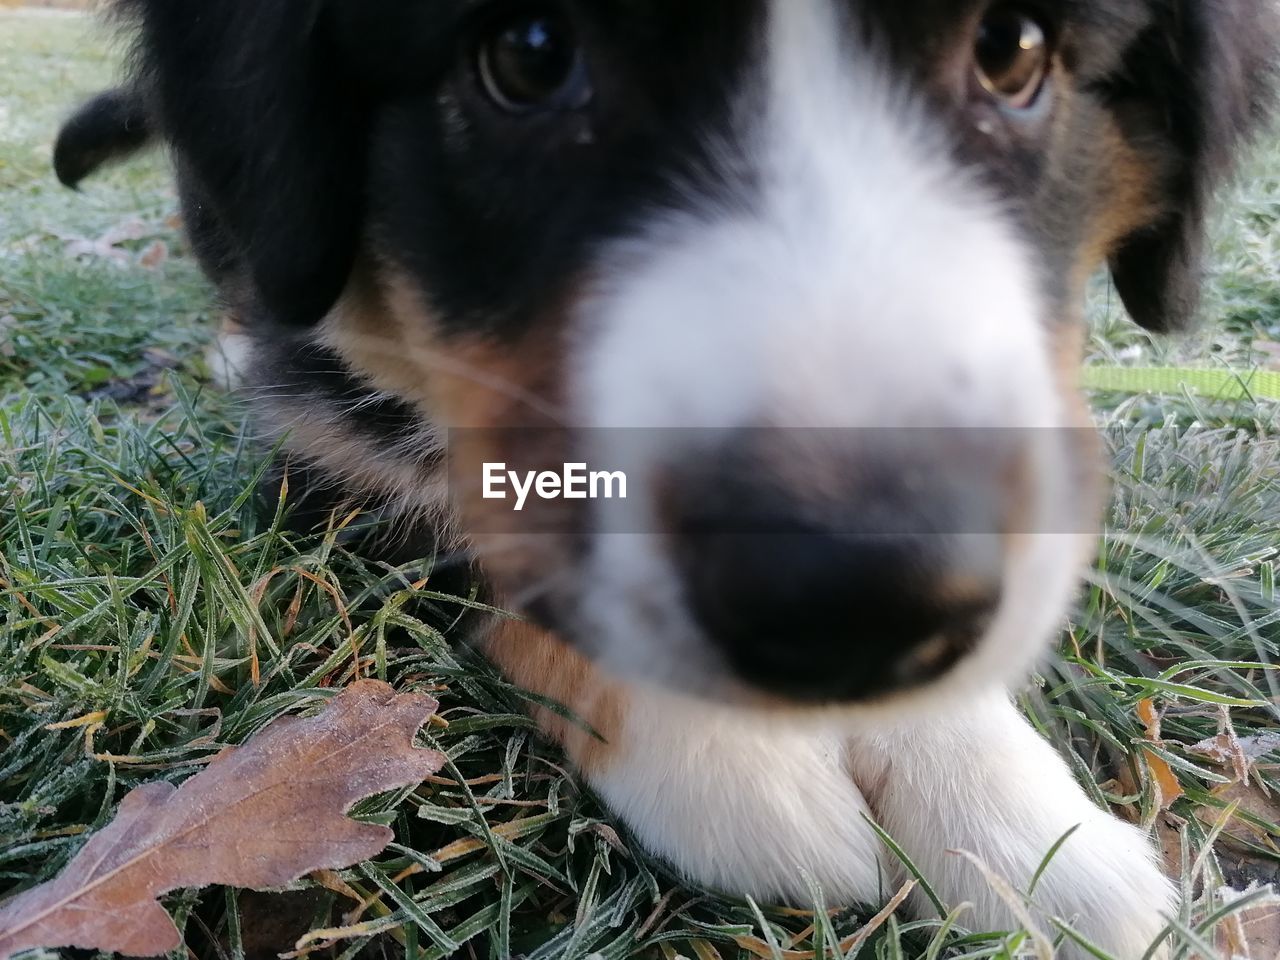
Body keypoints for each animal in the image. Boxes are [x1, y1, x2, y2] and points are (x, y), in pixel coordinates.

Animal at [55, 0, 1274, 957]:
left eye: (1012, 50)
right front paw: (734, 762)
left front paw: (1015, 825)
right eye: (532, 56)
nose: (850, 603)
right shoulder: (337, 462)